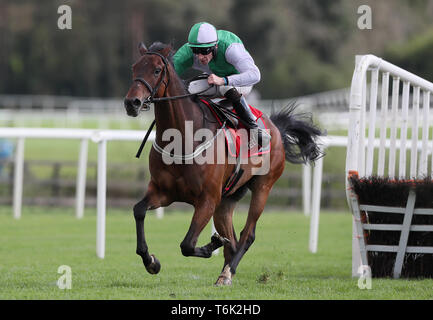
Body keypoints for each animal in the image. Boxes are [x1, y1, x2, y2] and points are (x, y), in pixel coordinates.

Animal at [123, 42, 322, 284]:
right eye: (134, 68)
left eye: (156, 70)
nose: (132, 103)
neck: (183, 138)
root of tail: (276, 126)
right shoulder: (163, 192)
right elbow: (138, 211)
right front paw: (151, 261)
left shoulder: (207, 199)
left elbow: (187, 244)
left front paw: (212, 244)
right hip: (226, 200)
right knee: (233, 240)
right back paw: (225, 270)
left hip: (263, 187)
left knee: (247, 235)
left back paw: (227, 272)